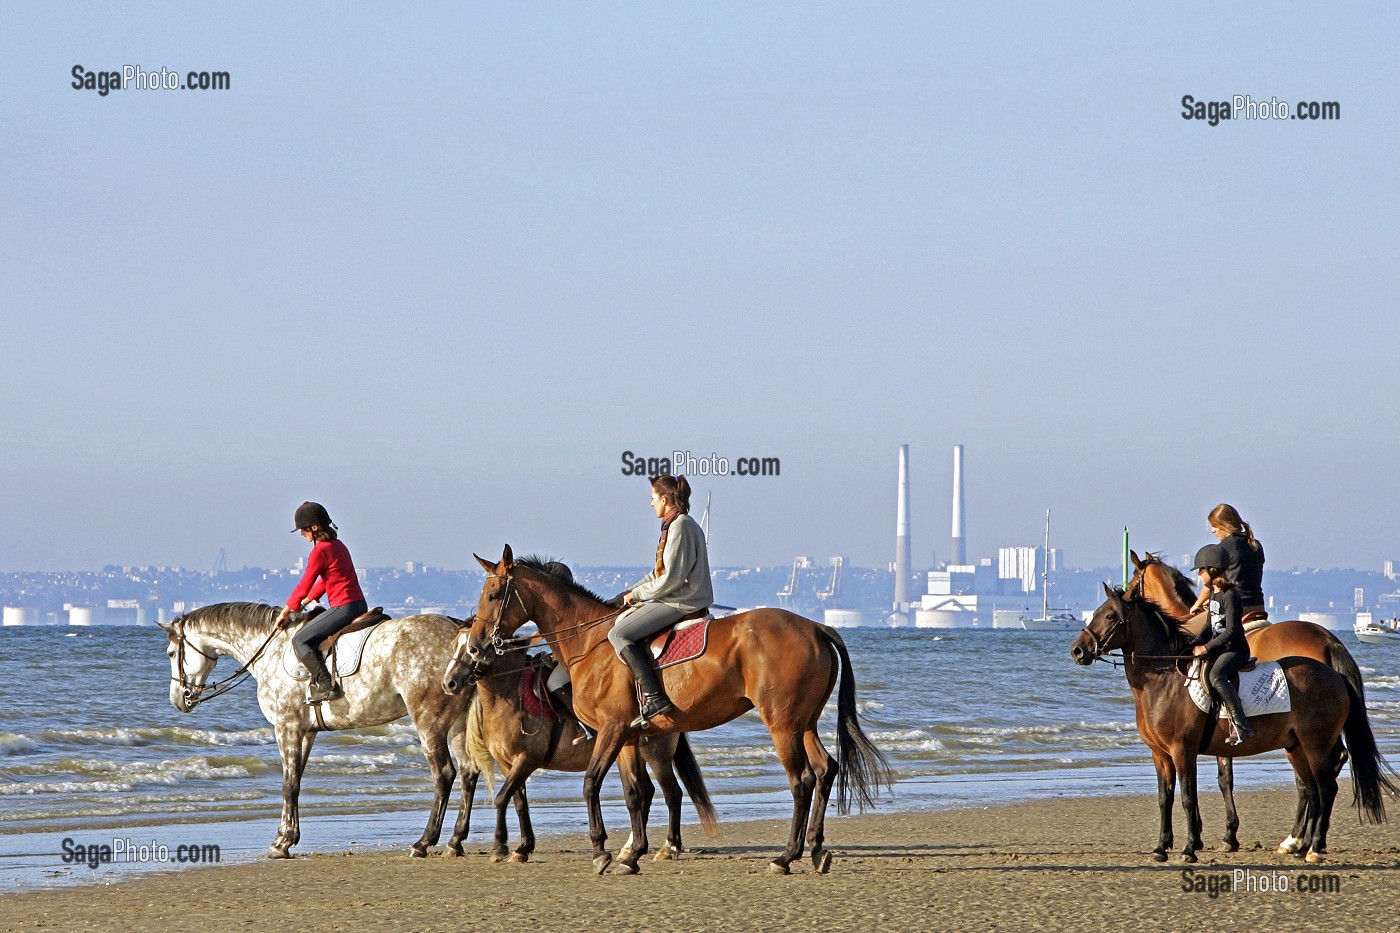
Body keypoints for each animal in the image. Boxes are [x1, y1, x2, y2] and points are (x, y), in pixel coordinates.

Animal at [160, 602, 474, 858]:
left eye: (172, 653)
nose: (178, 700)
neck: (271, 651)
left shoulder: (286, 727)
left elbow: (288, 785)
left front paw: (281, 843)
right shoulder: (306, 732)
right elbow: (296, 782)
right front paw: (287, 837)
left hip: (428, 722)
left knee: (444, 774)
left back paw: (424, 842)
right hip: (459, 723)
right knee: (468, 773)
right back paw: (455, 842)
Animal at [440, 637, 718, 862]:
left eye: (472, 649)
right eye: (454, 644)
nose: (449, 683)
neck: (510, 694)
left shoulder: (527, 760)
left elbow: (501, 797)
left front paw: (500, 846)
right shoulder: (508, 763)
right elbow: (518, 802)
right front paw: (522, 847)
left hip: (656, 755)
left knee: (672, 793)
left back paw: (668, 848)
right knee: (647, 792)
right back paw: (630, 848)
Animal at [1070, 585, 1396, 863]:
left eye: (1110, 616)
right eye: (1096, 612)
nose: (1077, 650)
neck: (1164, 682)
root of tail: (1332, 671)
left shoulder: (1183, 750)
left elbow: (1188, 797)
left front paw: (1190, 848)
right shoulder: (1160, 754)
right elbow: (1165, 798)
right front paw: (1162, 848)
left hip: (1316, 744)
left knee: (1326, 787)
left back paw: (1314, 848)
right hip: (1296, 746)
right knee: (1312, 787)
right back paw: (1299, 844)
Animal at [1126, 550, 1367, 851]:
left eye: (1132, 582)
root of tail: (1327, 639)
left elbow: (1224, 779)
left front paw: (1225, 834)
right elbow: (1224, 777)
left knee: (1310, 779)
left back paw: (1297, 838)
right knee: (1326, 769)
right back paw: (1304, 837)